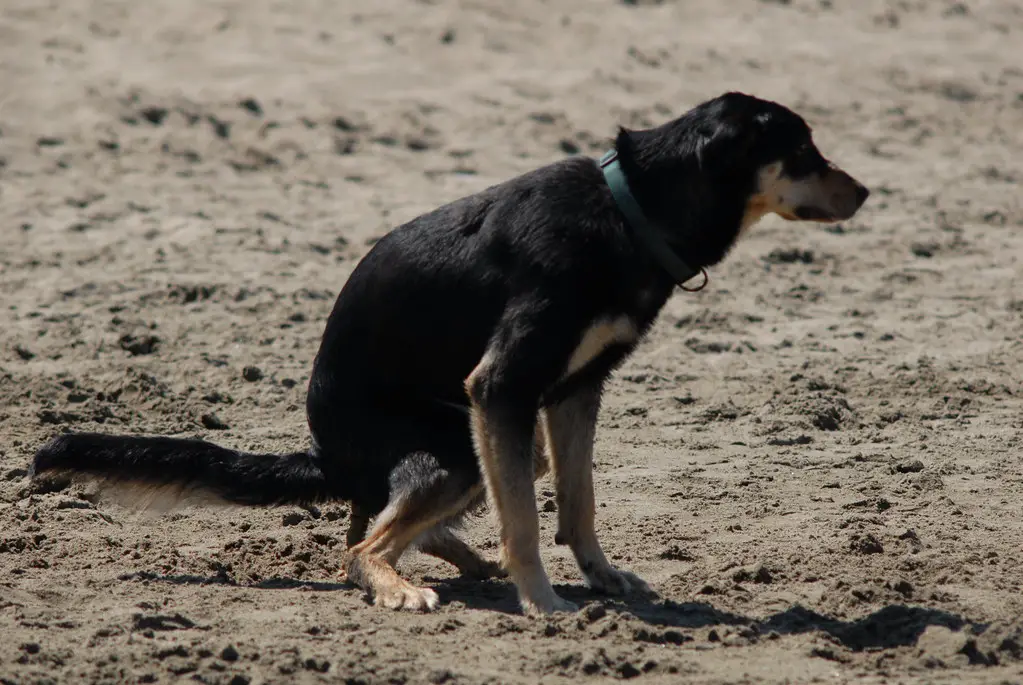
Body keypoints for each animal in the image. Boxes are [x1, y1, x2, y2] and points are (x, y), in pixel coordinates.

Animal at [31, 89, 867, 617]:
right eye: (802, 150)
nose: (864, 193)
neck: (632, 210)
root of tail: (328, 455)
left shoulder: (571, 391)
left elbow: (578, 501)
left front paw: (599, 577)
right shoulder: (501, 385)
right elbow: (524, 521)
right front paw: (544, 602)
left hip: (493, 441)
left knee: (404, 520)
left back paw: (456, 560)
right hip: (456, 446)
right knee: (360, 543)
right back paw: (398, 583)